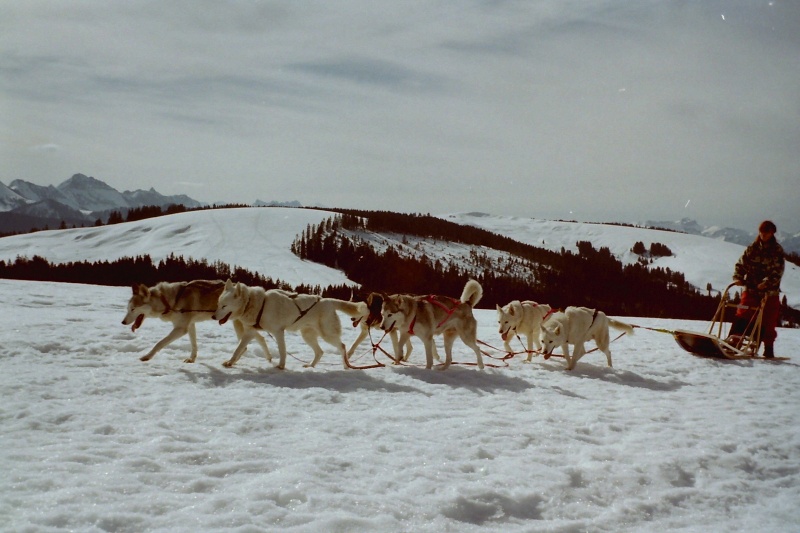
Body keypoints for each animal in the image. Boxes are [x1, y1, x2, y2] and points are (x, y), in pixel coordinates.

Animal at [119, 278, 268, 362]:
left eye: (133, 309)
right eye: (128, 309)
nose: (123, 322)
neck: (169, 300)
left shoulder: (180, 329)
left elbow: (159, 343)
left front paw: (147, 356)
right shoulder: (190, 326)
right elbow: (194, 345)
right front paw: (192, 359)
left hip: (238, 324)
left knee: (248, 344)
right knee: (257, 339)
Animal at [209, 278, 366, 370]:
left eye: (224, 306)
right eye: (218, 304)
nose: (213, 316)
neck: (258, 304)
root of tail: (329, 301)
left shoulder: (278, 332)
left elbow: (282, 351)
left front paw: (281, 366)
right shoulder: (249, 333)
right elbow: (238, 350)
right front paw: (230, 362)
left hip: (327, 335)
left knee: (343, 346)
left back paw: (346, 365)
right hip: (307, 336)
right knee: (320, 352)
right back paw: (311, 365)